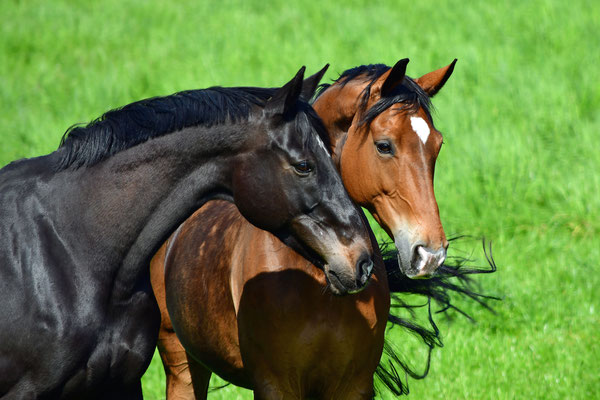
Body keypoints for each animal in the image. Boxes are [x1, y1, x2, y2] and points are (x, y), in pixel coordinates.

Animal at [151, 57, 464, 398]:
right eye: (384, 146)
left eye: (437, 146)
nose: (430, 254)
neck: (318, 280)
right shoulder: (275, 384)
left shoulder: (354, 384)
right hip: (180, 362)